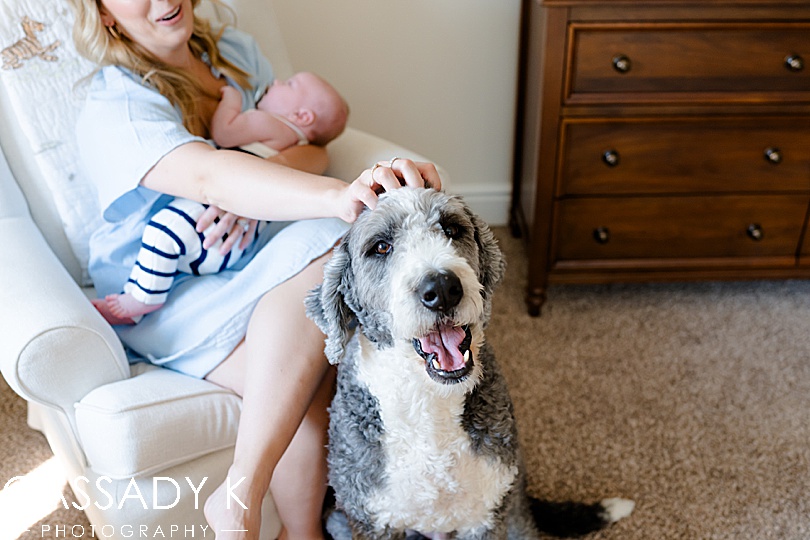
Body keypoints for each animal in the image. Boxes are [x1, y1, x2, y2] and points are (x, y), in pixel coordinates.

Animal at [306, 188, 636, 536]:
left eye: (452, 229)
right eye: (381, 247)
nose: (441, 288)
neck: (430, 400)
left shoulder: (487, 514)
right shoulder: (371, 521)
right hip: (337, 521)